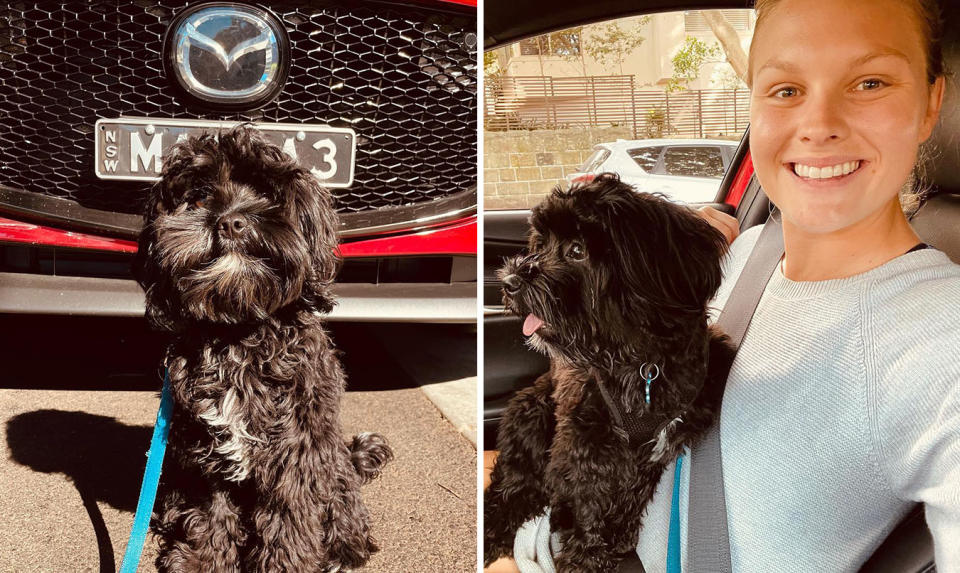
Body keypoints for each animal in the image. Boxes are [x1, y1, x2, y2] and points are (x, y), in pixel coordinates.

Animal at [133, 126, 392, 572]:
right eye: (198, 196)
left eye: (268, 193)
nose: (230, 222)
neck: (239, 332)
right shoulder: (204, 448)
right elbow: (212, 511)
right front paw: (204, 560)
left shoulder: (296, 449)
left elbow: (288, 519)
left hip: (333, 467)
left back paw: (344, 548)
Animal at [484, 175, 740, 572]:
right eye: (541, 244)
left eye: (577, 250)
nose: (509, 280)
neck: (641, 362)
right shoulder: (585, 443)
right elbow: (590, 504)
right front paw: (585, 558)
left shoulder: (654, 450)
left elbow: (629, 497)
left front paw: (615, 539)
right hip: (533, 415)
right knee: (514, 485)